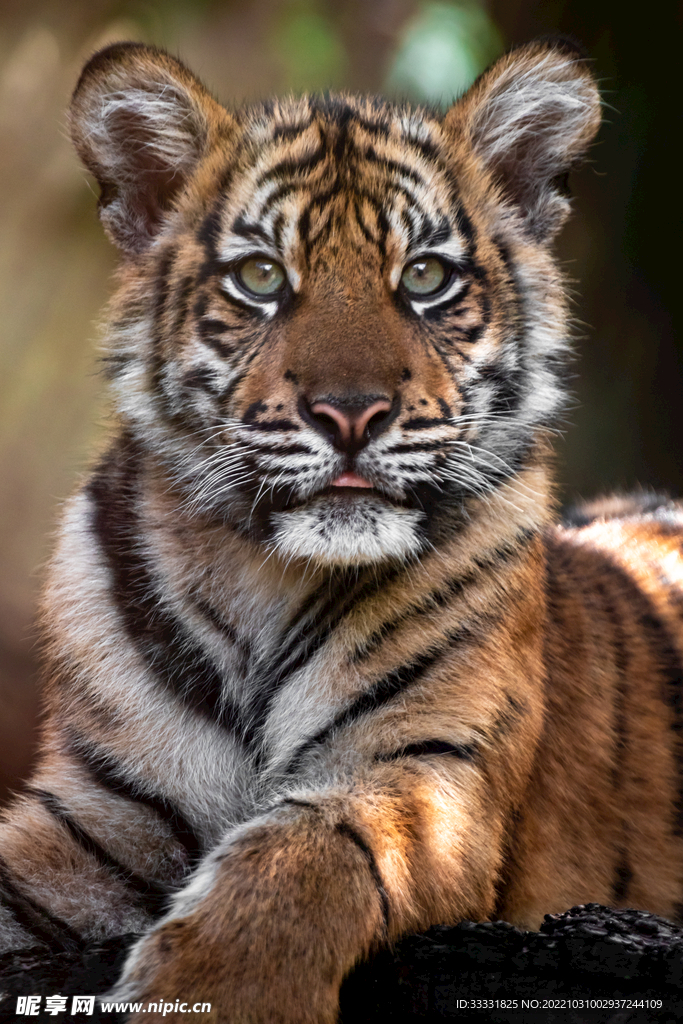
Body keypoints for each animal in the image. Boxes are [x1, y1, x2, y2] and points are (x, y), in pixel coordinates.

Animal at [0, 35, 682, 1024]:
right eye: (260, 278)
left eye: (426, 278)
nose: (350, 412)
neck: (261, 581)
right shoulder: (101, 811)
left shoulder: (426, 771)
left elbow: (301, 855)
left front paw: (217, 992)